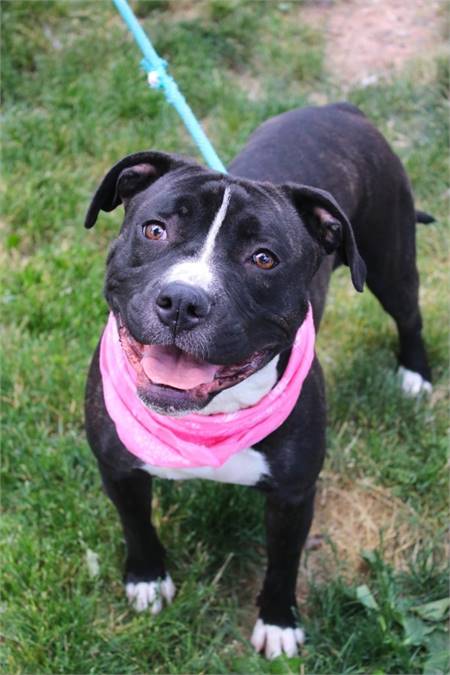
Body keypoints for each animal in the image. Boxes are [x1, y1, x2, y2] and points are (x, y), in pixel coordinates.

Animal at [84, 104, 432, 660]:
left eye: (263, 259)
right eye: (155, 230)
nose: (183, 301)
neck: (205, 420)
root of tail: (340, 108)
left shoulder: (293, 496)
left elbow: (283, 564)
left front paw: (279, 622)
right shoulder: (118, 467)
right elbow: (136, 525)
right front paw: (147, 578)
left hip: (389, 257)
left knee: (409, 316)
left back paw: (415, 376)